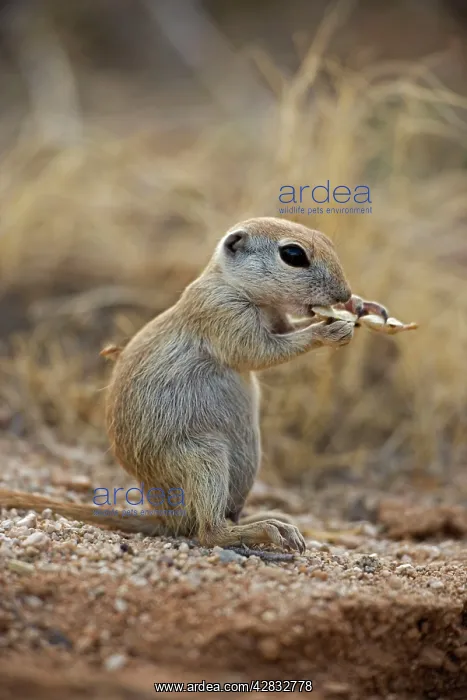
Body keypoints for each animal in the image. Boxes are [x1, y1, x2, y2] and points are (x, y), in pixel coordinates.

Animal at [0, 217, 354, 553]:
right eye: (293, 254)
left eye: (328, 241)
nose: (346, 296)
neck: (230, 283)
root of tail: (165, 519)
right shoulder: (222, 312)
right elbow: (259, 352)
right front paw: (329, 330)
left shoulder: (276, 318)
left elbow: (285, 331)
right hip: (203, 459)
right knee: (209, 531)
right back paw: (266, 529)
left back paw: (276, 522)